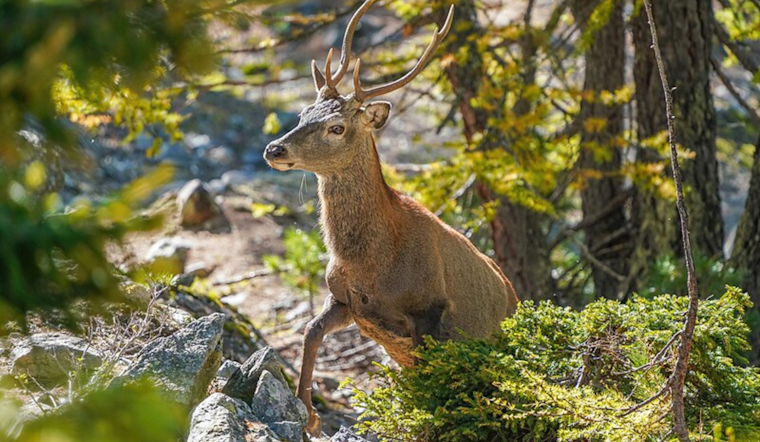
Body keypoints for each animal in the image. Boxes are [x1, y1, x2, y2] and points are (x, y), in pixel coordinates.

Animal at [262, 0, 519, 435]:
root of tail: (518, 299)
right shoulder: (346, 299)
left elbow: (430, 391)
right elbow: (311, 332)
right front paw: (309, 414)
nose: (274, 149)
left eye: (336, 127)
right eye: (303, 112)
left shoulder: (431, 308)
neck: (372, 261)